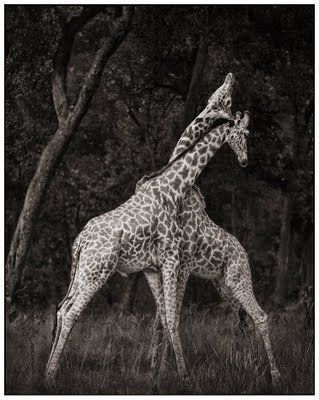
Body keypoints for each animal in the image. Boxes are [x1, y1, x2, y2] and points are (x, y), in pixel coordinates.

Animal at [45, 77, 250, 384]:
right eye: (243, 134)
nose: (245, 160)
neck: (174, 187)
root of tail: (80, 241)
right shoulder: (172, 260)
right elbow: (171, 319)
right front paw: (182, 375)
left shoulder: (154, 267)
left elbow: (164, 319)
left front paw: (159, 372)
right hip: (97, 271)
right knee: (70, 312)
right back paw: (50, 376)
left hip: (82, 272)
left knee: (60, 309)